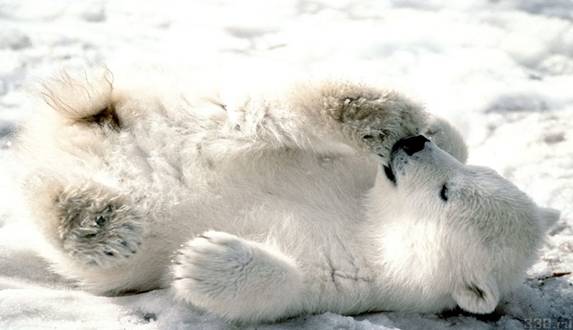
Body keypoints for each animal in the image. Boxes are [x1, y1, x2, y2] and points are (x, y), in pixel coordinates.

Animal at [16, 68, 560, 324]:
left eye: (447, 193)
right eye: (467, 175)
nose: (411, 146)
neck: (371, 221)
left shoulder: (362, 279)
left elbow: (290, 287)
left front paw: (203, 259)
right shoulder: (354, 176)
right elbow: (449, 135)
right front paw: (425, 127)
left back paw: (97, 223)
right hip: (201, 119)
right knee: (264, 115)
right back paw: (372, 112)